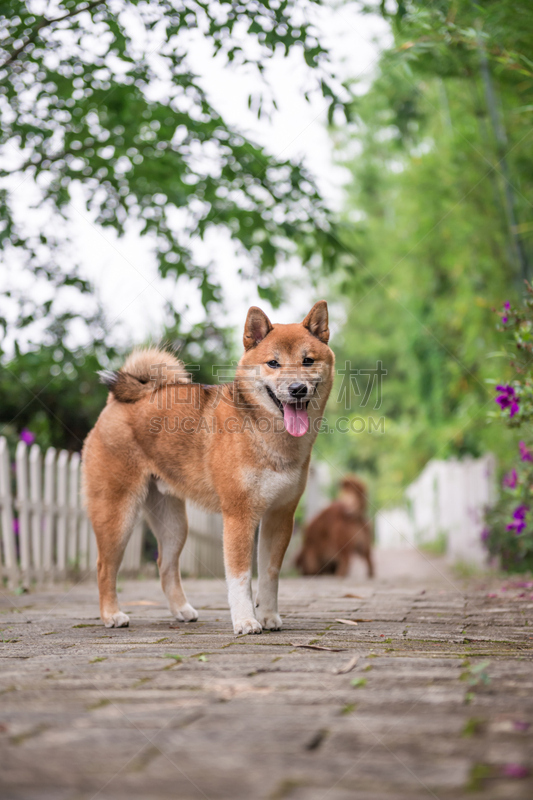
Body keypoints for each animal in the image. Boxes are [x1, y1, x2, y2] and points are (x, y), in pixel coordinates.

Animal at [81, 304, 332, 636]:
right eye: (273, 363)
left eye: (307, 361)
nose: (297, 389)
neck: (268, 436)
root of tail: (115, 403)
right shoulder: (239, 515)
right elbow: (240, 578)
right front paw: (246, 621)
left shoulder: (279, 515)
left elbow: (269, 573)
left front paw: (268, 616)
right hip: (117, 513)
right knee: (104, 566)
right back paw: (111, 614)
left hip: (173, 523)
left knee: (165, 565)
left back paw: (181, 610)